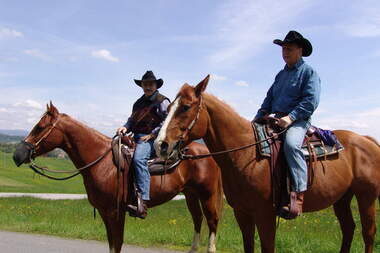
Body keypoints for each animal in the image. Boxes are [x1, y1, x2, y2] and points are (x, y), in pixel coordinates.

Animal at [13, 103, 223, 253]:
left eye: (40, 127)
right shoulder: (105, 212)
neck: (102, 162)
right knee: (197, 219)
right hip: (190, 194)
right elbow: (112, 244)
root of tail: (207, 153)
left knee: (212, 221)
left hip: (207, 194)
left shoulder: (116, 212)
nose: (17, 155)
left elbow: (118, 243)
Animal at [154, 75, 380, 253]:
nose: (161, 144)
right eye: (169, 108)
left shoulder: (265, 215)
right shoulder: (242, 213)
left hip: (366, 197)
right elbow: (249, 246)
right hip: (342, 198)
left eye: (185, 107)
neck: (247, 155)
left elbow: (267, 247)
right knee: (348, 229)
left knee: (368, 233)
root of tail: (367, 139)